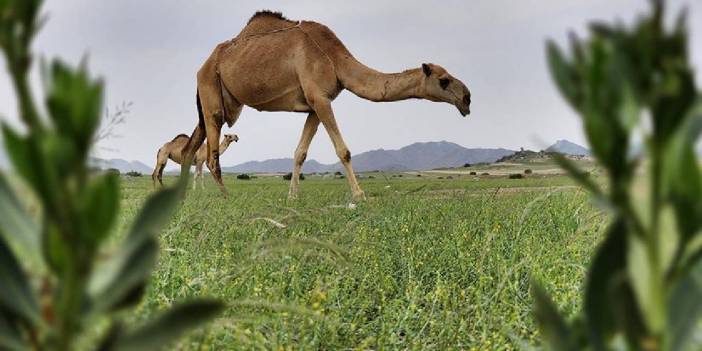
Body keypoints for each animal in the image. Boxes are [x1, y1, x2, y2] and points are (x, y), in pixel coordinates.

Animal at [184, 11, 472, 202]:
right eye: (444, 81)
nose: (467, 99)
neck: (335, 59)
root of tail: (202, 66)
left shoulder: (315, 104)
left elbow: (300, 152)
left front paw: (293, 196)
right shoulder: (320, 98)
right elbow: (343, 150)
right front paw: (359, 194)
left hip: (216, 101)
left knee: (191, 147)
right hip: (212, 94)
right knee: (211, 155)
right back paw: (226, 196)